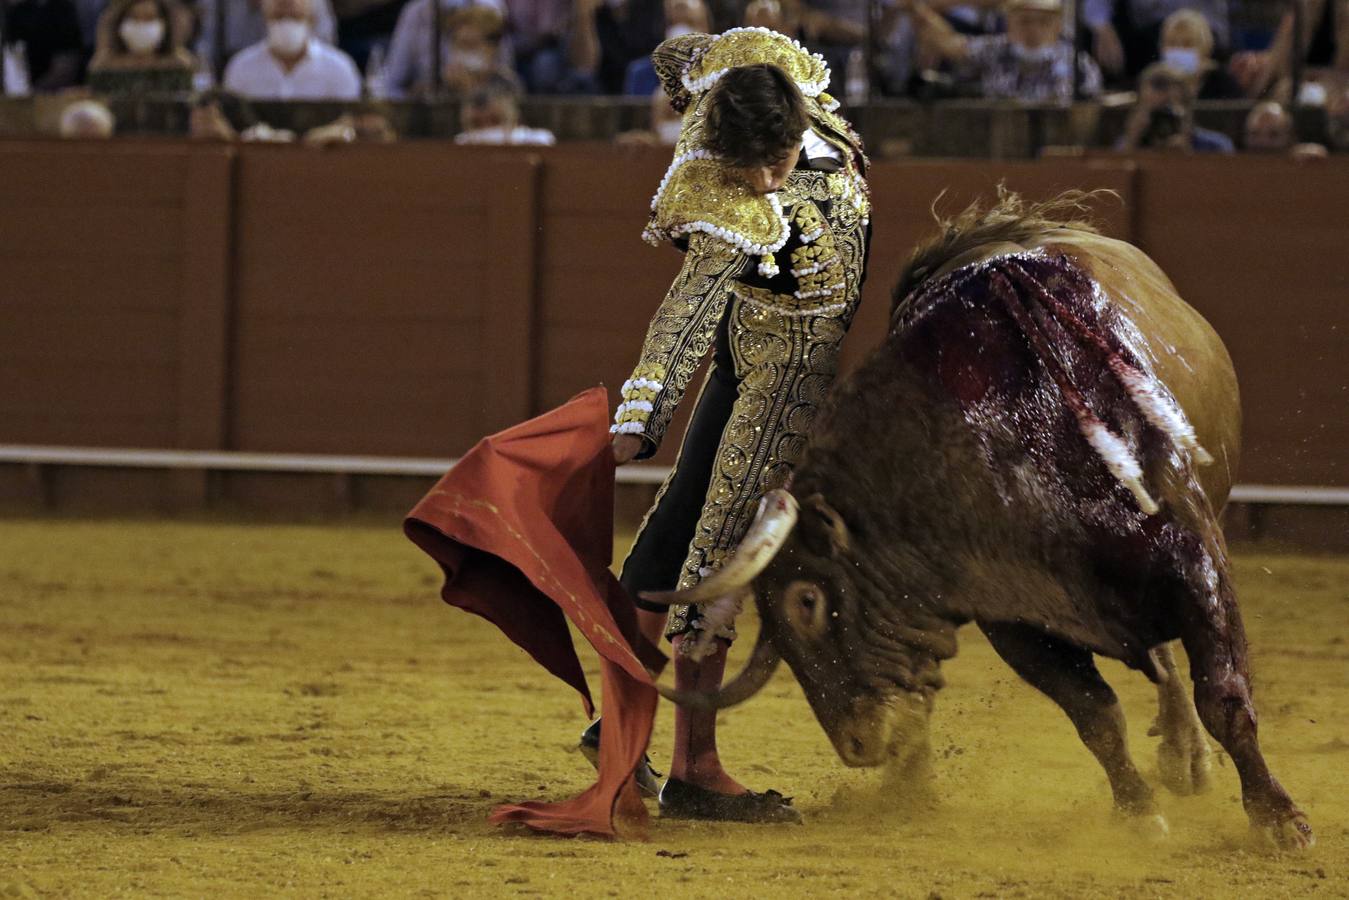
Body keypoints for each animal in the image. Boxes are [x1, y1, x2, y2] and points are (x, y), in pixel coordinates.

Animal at [647, 191, 1311, 852]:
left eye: (807, 602)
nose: (857, 746)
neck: (1017, 437)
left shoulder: (1196, 562)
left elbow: (1224, 696)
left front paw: (1279, 817)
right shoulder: (1013, 617)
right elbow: (1094, 713)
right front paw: (1137, 810)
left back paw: (1187, 758)